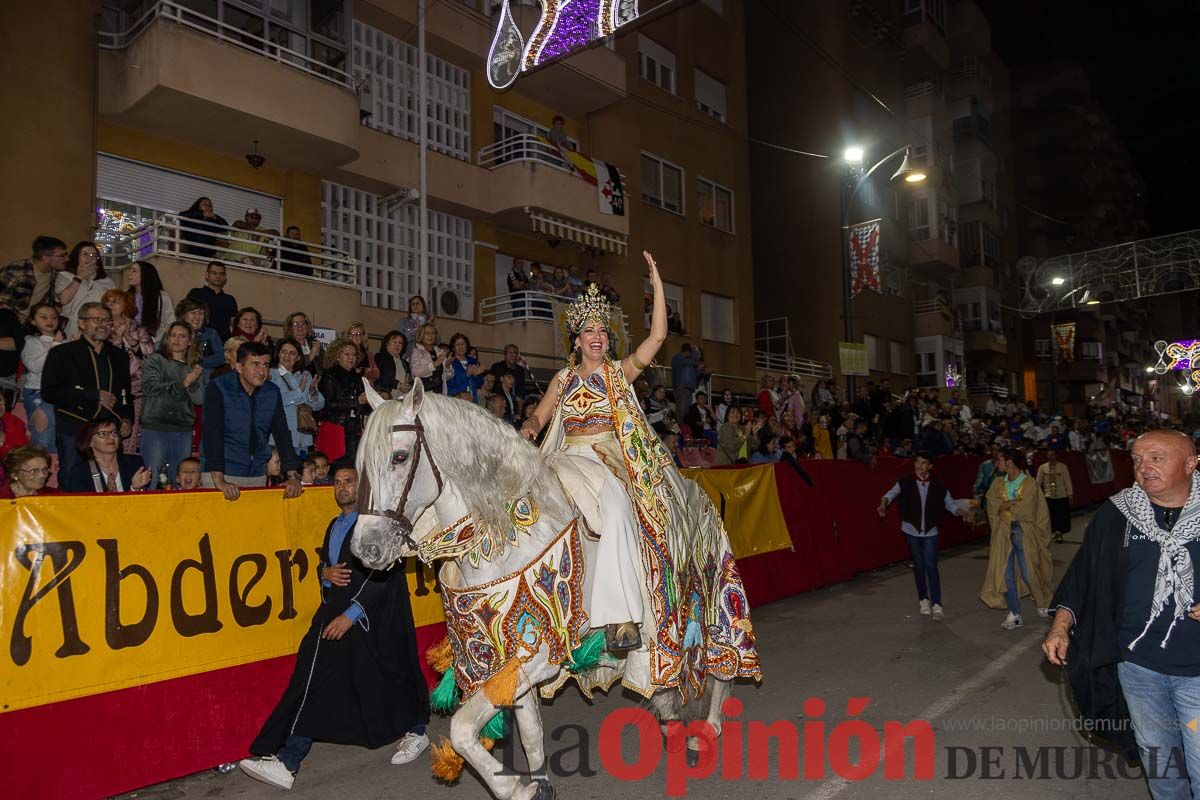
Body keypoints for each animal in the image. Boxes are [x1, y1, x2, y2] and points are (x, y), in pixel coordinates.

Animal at [350, 381, 734, 800]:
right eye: (360, 464)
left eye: (400, 457)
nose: (366, 548)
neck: (504, 538)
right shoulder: (508, 657)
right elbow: (530, 734)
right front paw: (537, 786)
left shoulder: (541, 653)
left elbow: (463, 728)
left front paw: (515, 788)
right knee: (664, 682)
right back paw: (674, 724)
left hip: (707, 598)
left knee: (721, 665)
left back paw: (706, 730)